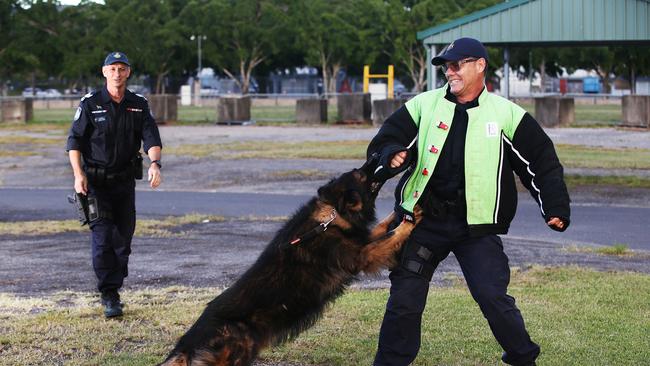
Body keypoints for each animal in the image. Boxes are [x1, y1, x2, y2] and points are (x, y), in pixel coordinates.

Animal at [159, 158, 418, 366]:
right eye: (362, 174)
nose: (376, 157)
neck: (332, 214)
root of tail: (186, 343)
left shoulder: (361, 241)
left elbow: (383, 228)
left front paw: (399, 214)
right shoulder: (361, 255)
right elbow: (390, 236)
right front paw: (413, 218)